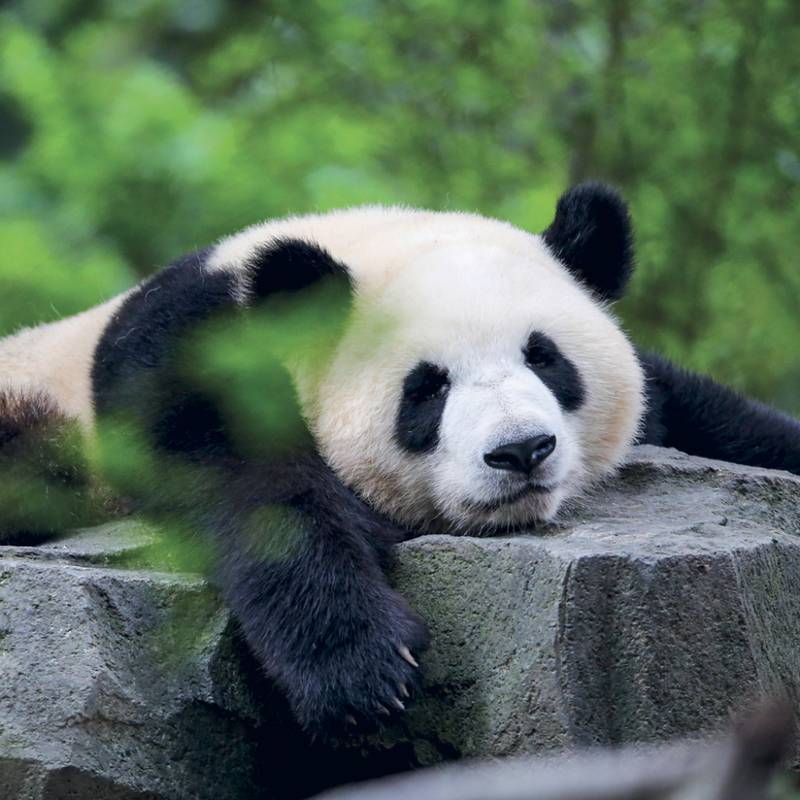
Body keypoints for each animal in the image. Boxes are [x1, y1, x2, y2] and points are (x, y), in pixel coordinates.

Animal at [1, 183, 799, 736]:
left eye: (545, 358)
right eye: (427, 388)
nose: (521, 451)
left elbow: (716, 416)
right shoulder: (178, 358)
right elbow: (252, 490)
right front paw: (362, 671)